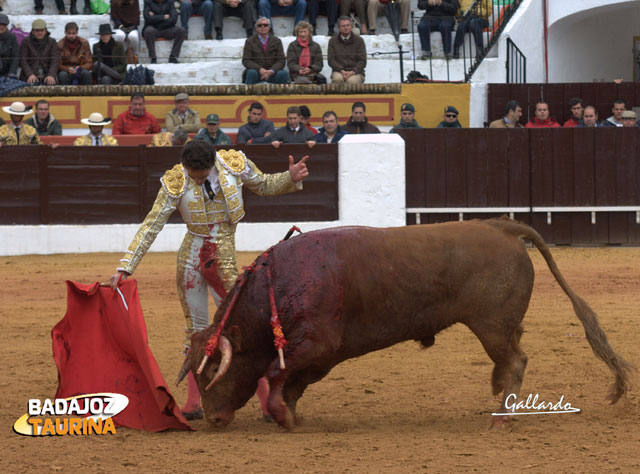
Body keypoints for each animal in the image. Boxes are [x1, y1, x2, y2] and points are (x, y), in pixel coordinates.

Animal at [178, 218, 632, 430]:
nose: (213, 419)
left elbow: (277, 374)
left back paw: (502, 416)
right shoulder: (317, 357)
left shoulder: (316, 344)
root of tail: (499, 225)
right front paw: (288, 414)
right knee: (511, 355)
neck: (278, 283)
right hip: (500, 325)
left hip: (490, 325)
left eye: (212, 370)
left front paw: (282, 417)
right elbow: (289, 383)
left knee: (516, 360)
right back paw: (498, 393)